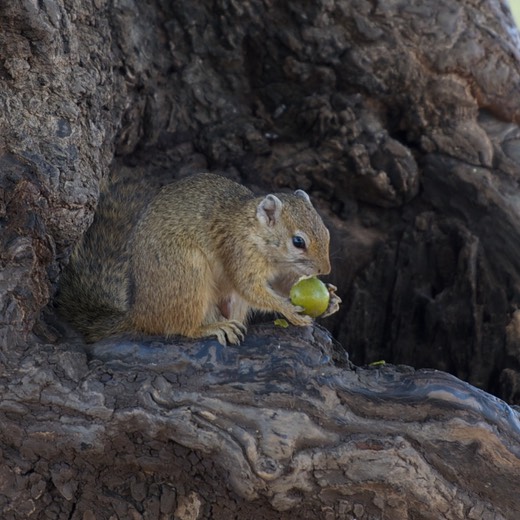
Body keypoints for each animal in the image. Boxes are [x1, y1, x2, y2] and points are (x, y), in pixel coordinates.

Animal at [58, 174, 342, 346]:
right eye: (298, 242)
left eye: (327, 232)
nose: (325, 269)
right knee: (181, 327)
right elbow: (251, 289)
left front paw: (331, 300)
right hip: (188, 273)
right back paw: (212, 328)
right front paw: (289, 310)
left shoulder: (281, 271)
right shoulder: (238, 253)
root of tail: (139, 315)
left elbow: (283, 286)